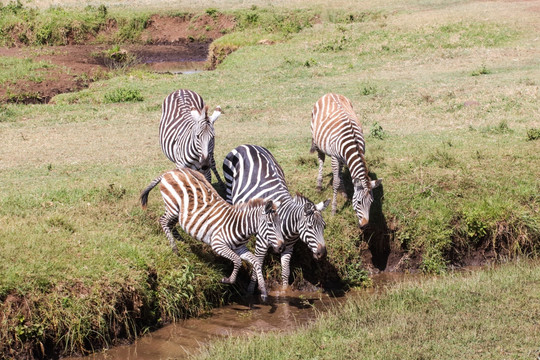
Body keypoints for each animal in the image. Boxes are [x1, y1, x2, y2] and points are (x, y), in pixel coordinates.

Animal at [140, 167, 286, 302]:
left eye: (280, 224)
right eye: (270, 225)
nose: (281, 247)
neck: (238, 226)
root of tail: (170, 171)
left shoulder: (240, 248)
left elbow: (255, 261)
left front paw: (263, 292)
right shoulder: (218, 244)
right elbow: (237, 261)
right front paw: (228, 280)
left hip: (179, 213)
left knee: (171, 224)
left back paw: (182, 241)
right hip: (173, 206)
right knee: (163, 221)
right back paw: (175, 248)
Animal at [223, 144, 332, 292]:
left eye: (324, 226)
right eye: (310, 227)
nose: (322, 254)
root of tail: (246, 145)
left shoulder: (289, 247)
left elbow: (285, 270)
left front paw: (285, 291)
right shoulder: (261, 243)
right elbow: (257, 267)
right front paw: (251, 291)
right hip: (229, 186)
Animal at [310, 93, 382, 228]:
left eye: (371, 202)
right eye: (358, 202)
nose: (365, 225)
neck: (353, 142)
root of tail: (329, 93)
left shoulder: (346, 156)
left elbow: (340, 176)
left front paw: (343, 193)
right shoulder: (334, 157)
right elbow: (335, 182)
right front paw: (333, 210)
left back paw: (342, 192)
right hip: (317, 141)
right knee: (321, 159)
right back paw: (319, 185)